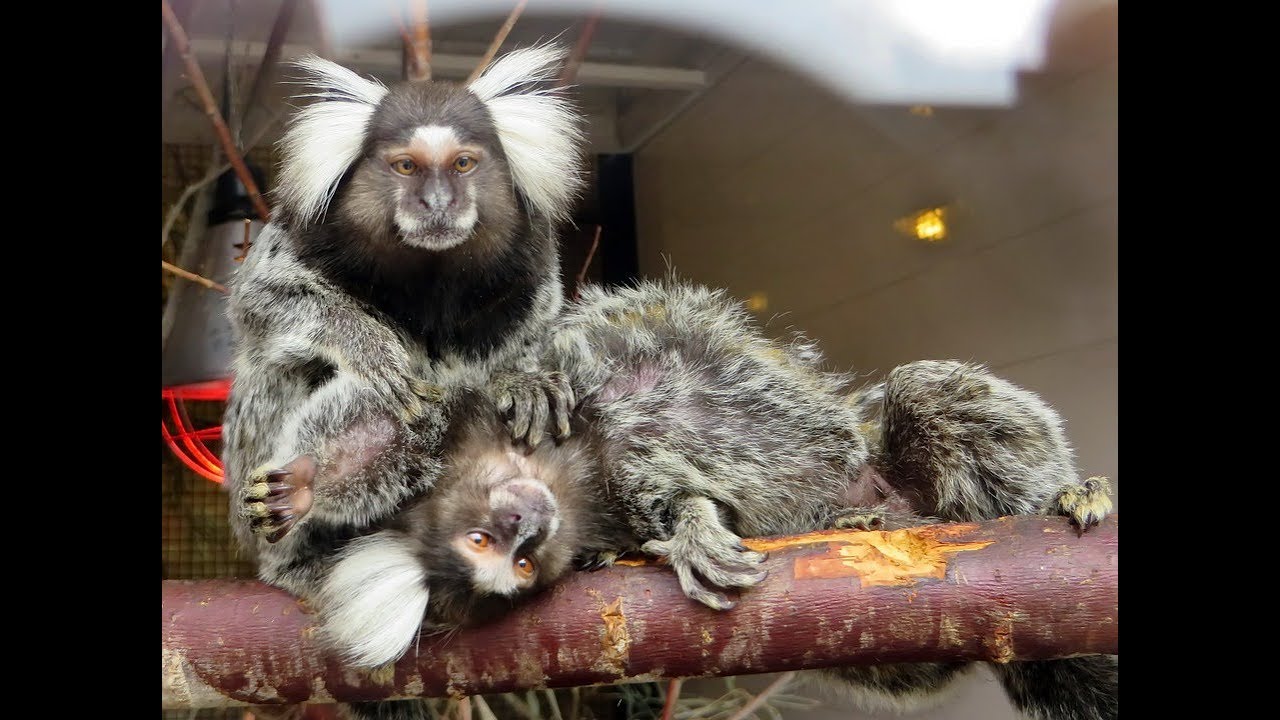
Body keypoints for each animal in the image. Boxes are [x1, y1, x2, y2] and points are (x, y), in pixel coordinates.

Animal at [220, 44, 586, 609]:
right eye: (406, 166)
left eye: (462, 163)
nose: (436, 203)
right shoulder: (303, 232)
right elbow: (262, 299)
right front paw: (370, 347)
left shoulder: (530, 257)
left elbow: (535, 322)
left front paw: (524, 383)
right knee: (281, 371)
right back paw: (296, 542)